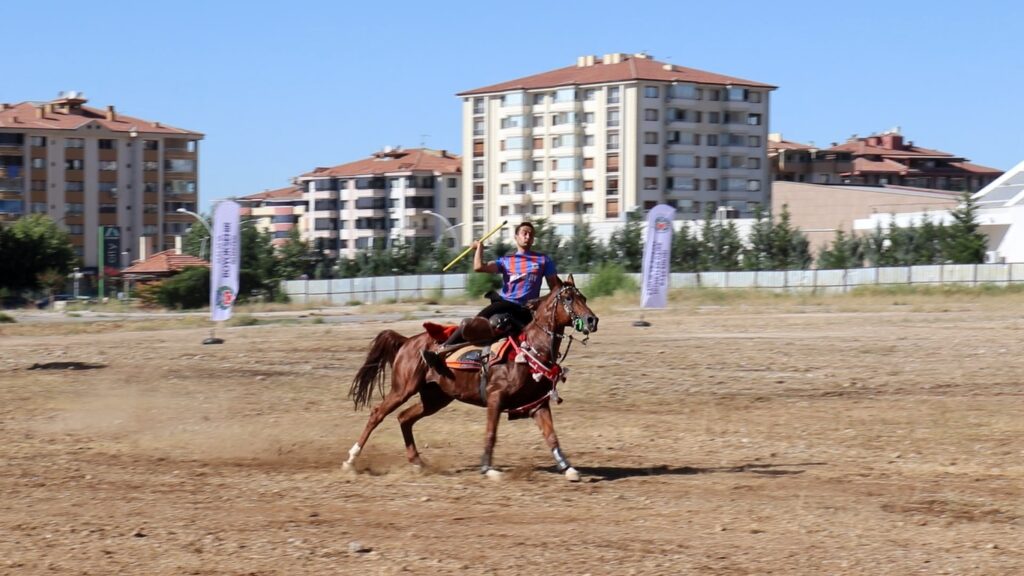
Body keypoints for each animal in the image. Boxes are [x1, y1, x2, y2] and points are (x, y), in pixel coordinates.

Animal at [344, 272, 598, 479]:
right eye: (568, 299)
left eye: (584, 298)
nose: (592, 320)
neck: (530, 350)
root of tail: (407, 341)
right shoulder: (495, 397)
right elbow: (491, 433)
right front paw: (488, 468)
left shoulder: (538, 404)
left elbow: (551, 436)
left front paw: (568, 468)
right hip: (403, 388)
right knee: (378, 414)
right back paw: (350, 460)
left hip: (435, 398)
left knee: (404, 418)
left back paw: (417, 462)